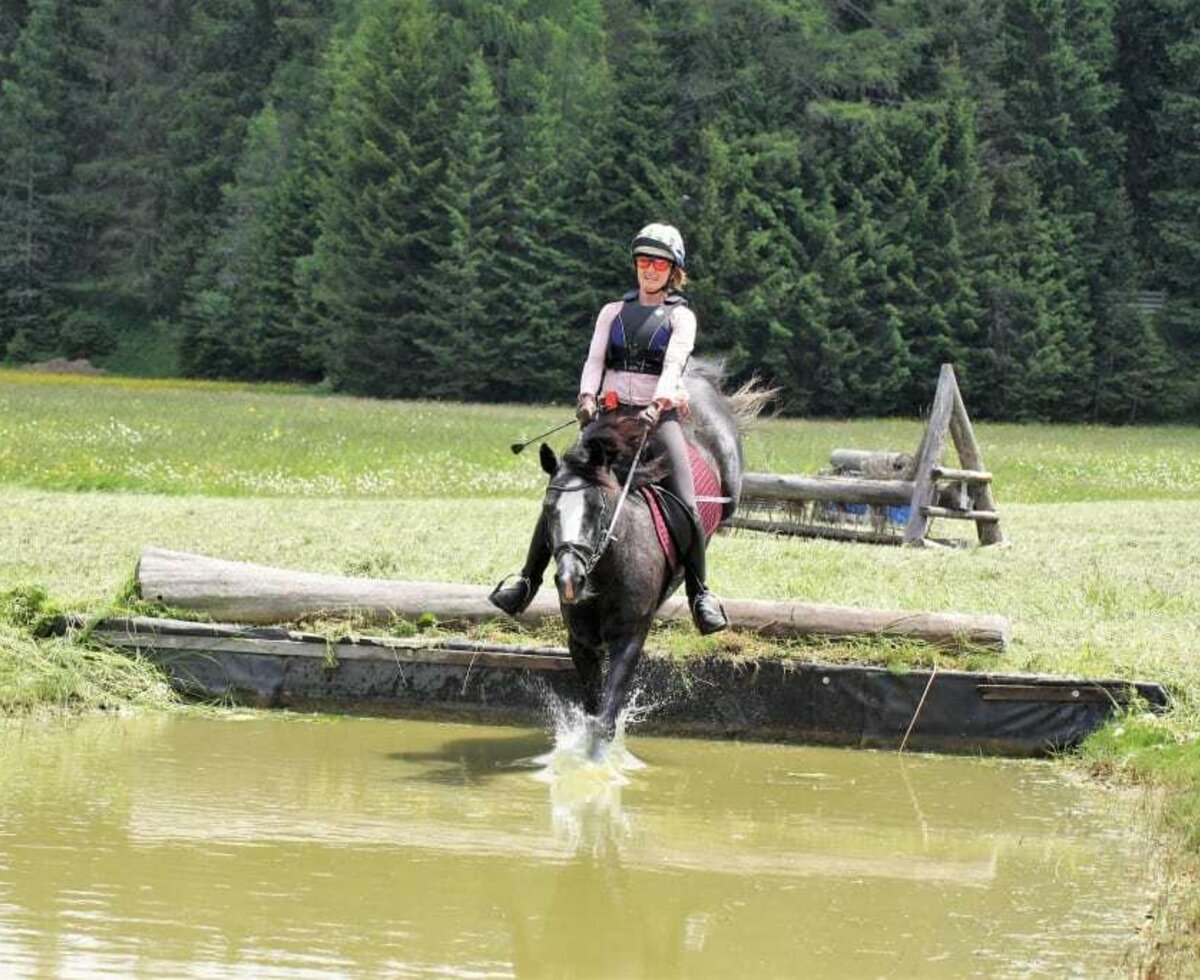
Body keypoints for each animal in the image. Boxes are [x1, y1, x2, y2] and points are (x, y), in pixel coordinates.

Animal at [537, 362, 768, 748]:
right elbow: (591, 708)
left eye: (598, 508)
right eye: (548, 509)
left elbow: (605, 717)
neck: (606, 573)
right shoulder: (581, 641)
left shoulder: (630, 636)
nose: (570, 580)